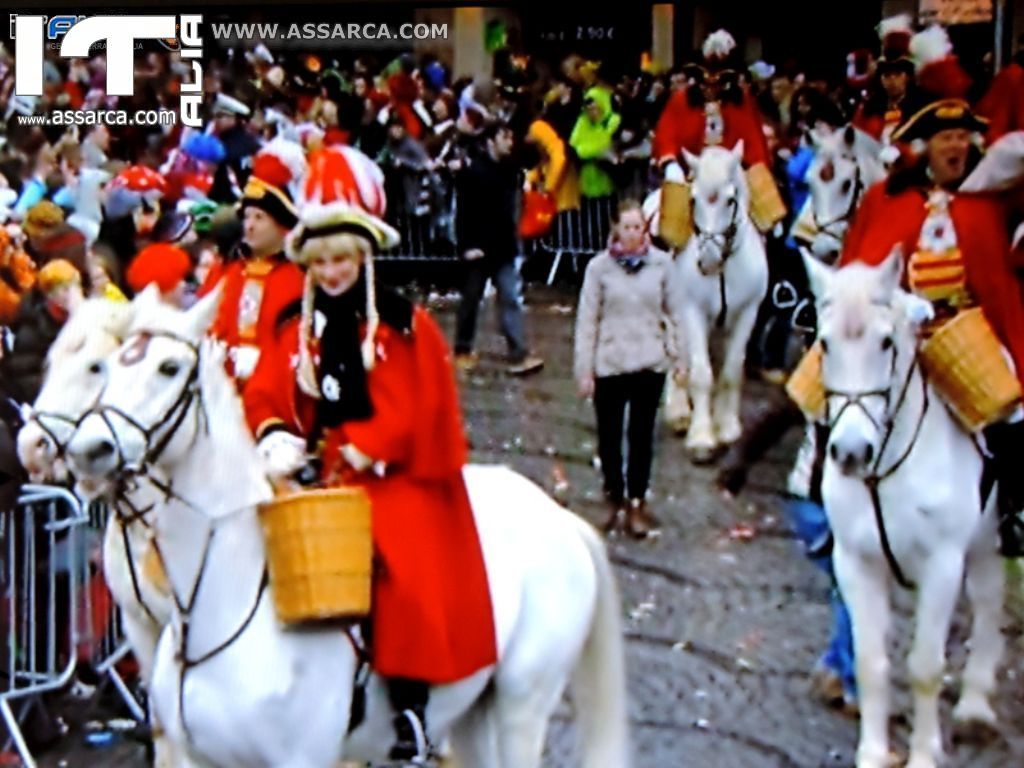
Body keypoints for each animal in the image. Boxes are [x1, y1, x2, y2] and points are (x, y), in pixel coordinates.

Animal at [66, 288, 630, 768]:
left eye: (168, 367)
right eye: (108, 365)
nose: (87, 449)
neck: (219, 609)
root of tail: (559, 517)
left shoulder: (301, 760)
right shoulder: (197, 758)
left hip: (521, 706)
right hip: (474, 705)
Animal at [671, 144, 770, 462]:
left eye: (730, 200)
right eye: (693, 199)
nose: (708, 262)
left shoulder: (747, 313)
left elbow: (731, 371)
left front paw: (726, 426)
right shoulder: (693, 311)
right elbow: (702, 373)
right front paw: (702, 437)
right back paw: (678, 411)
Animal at [802, 252, 1003, 768]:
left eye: (886, 342)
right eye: (824, 343)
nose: (851, 452)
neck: (885, 473)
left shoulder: (942, 566)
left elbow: (926, 668)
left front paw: (924, 754)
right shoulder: (856, 563)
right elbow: (872, 662)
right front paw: (874, 753)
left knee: (987, 603)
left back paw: (975, 707)